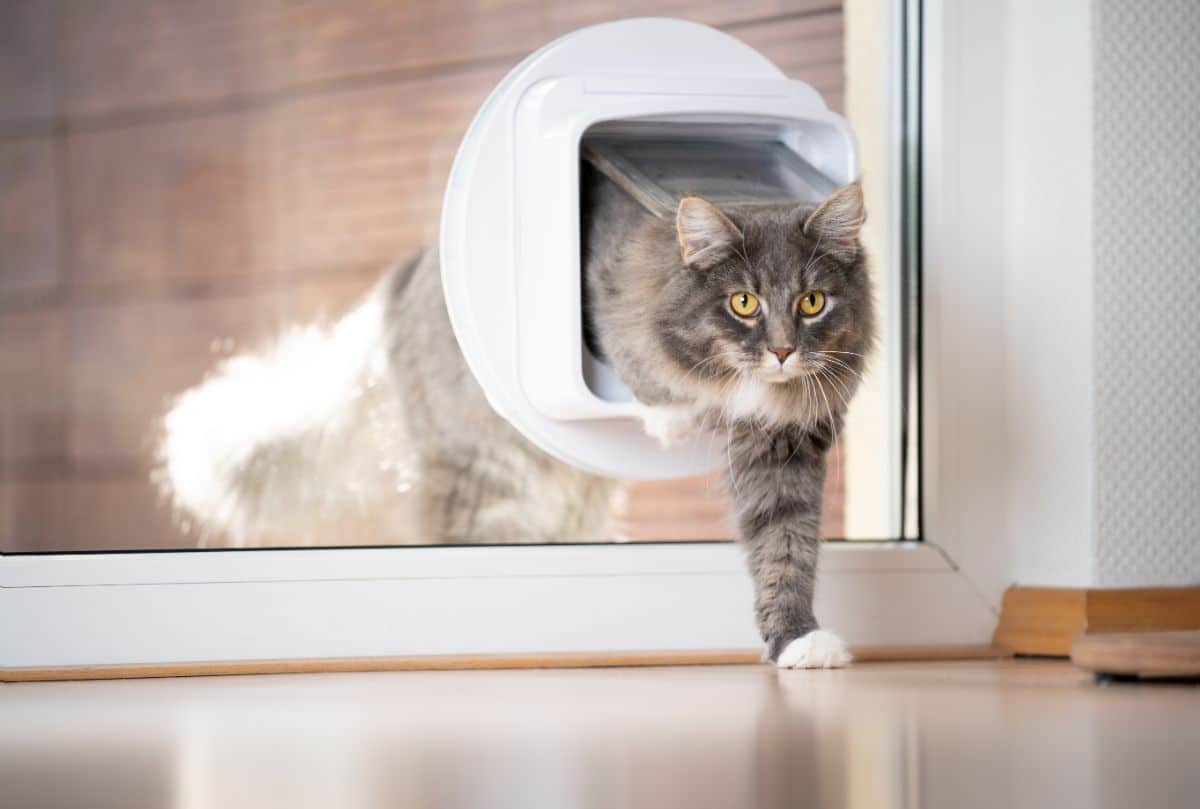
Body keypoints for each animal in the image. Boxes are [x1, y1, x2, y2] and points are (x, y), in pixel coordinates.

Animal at [159, 165, 873, 667]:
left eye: (811, 302)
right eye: (743, 303)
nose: (782, 351)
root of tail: (407, 276)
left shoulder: (784, 449)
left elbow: (784, 550)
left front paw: (799, 644)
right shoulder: (605, 305)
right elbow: (644, 370)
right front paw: (669, 416)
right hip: (488, 489)